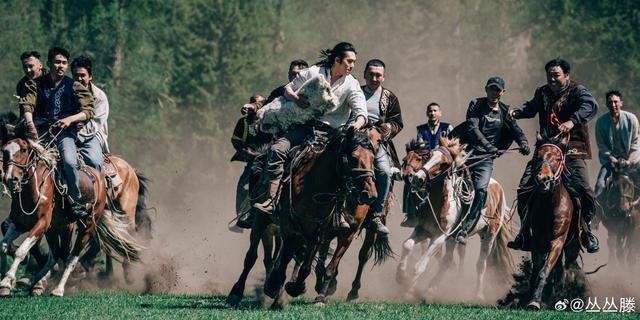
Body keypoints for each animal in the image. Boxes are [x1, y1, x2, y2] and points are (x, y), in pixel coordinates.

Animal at [0, 121, 142, 296]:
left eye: (23, 149)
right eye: (4, 150)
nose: (10, 179)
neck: (37, 187)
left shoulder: (43, 223)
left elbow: (22, 251)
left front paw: (7, 281)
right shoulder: (20, 222)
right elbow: (4, 245)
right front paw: (8, 282)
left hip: (95, 223)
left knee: (73, 257)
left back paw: (59, 288)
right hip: (56, 228)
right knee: (57, 254)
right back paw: (38, 282)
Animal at [262, 125, 378, 308]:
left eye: (373, 158)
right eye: (353, 158)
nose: (370, 195)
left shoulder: (326, 232)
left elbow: (315, 267)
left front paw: (303, 290)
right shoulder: (290, 227)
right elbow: (285, 259)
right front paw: (274, 286)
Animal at [400, 137, 516, 300]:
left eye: (444, 164)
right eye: (428, 156)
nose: (417, 178)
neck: (439, 201)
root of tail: (499, 189)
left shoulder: (439, 237)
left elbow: (419, 266)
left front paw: (408, 291)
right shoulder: (423, 230)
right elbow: (407, 245)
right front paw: (400, 276)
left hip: (489, 236)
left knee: (481, 264)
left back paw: (478, 294)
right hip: (454, 238)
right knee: (447, 261)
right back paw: (431, 290)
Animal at [524, 132, 584, 310]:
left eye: (558, 158)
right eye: (537, 156)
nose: (544, 180)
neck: (550, 205)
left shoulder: (557, 241)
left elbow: (545, 270)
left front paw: (535, 301)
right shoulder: (537, 241)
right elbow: (537, 271)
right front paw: (532, 298)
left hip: (572, 247)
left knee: (567, 268)